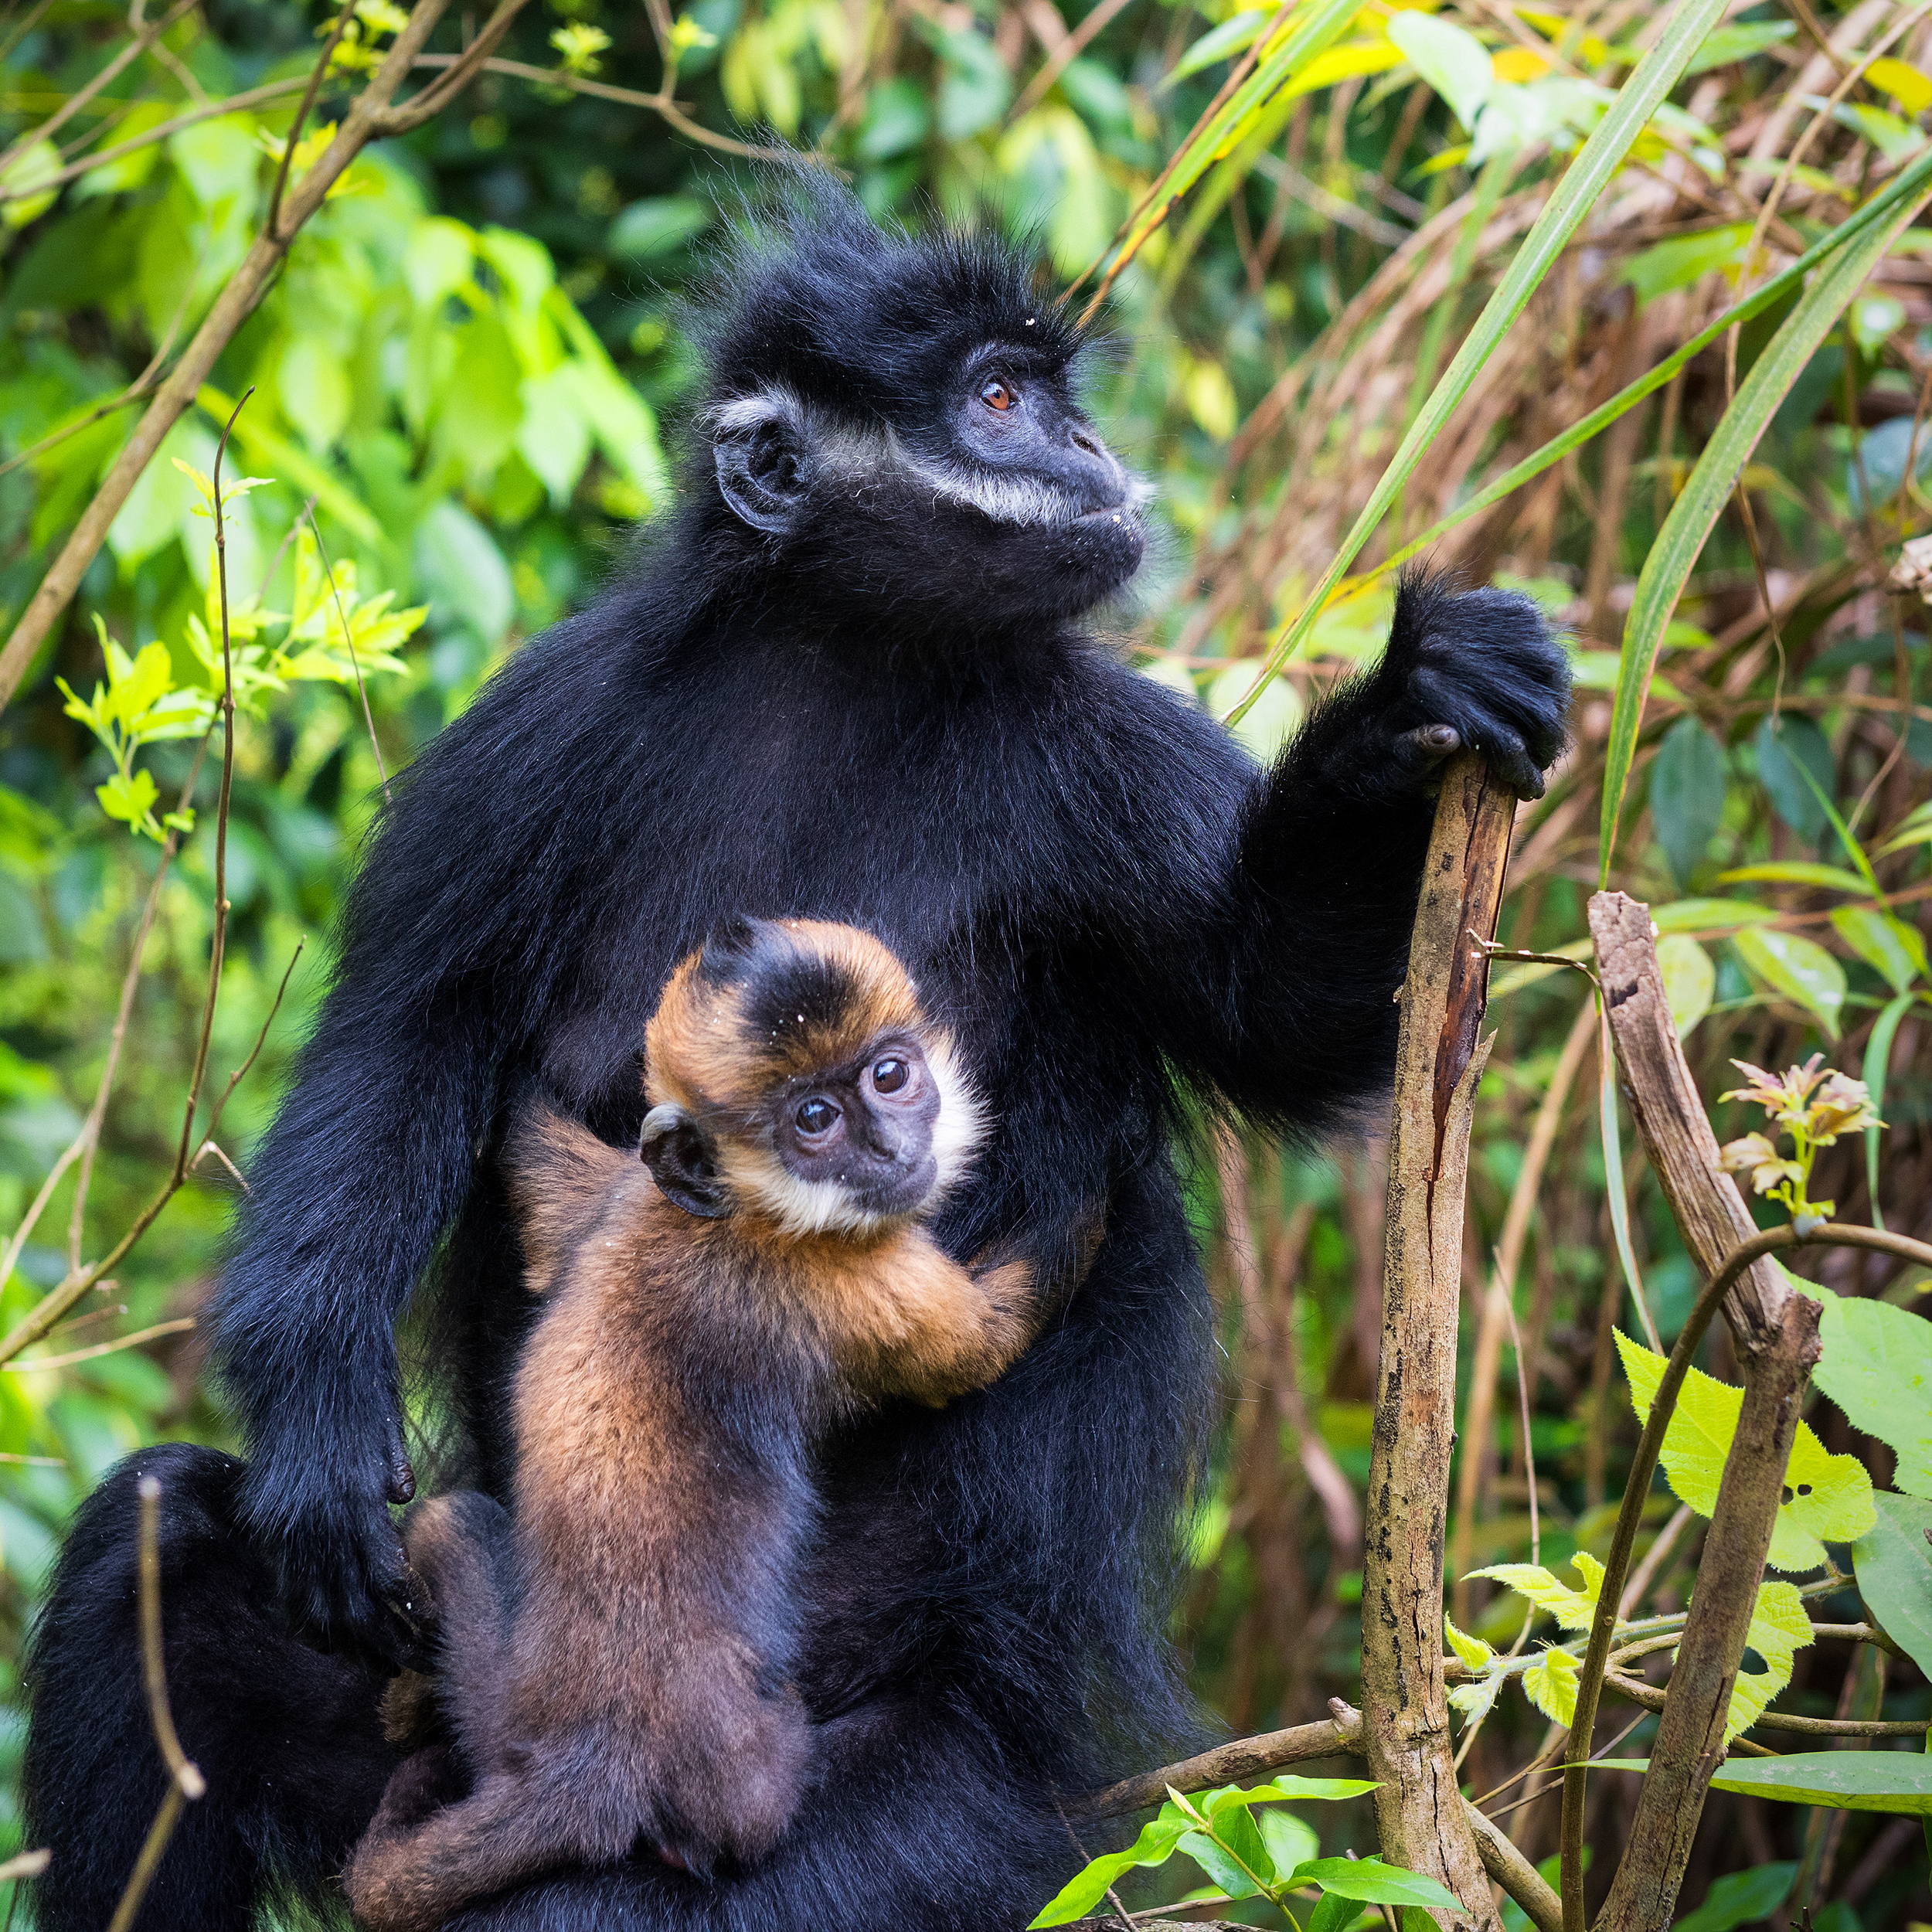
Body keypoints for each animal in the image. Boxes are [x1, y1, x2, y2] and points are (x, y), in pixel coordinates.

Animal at [344, 920, 1074, 1932]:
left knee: (453, 1524)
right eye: (815, 1119)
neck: (726, 1213)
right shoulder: (845, 1277)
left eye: (890, 1076)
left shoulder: (620, 1194)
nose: (894, 1147)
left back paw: (415, 1700)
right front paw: (1104, 1192)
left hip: (505, 1697)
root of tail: (586, 1756)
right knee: (752, 1805)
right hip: (726, 1762)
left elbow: (536, 1178)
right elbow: (982, 1344)